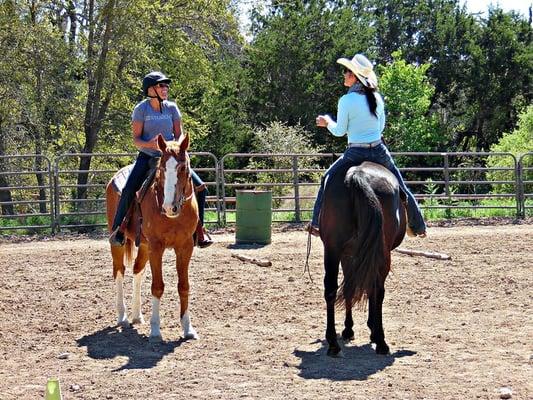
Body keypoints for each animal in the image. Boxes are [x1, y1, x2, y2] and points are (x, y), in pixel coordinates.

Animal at [105, 134, 198, 340]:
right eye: (162, 169)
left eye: (183, 167)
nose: (169, 207)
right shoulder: (157, 247)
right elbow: (157, 286)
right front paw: (155, 329)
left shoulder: (185, 247)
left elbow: (184, 286)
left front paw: (187, 328)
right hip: (118, 241)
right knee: (119, 271)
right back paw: (122, 316)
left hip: (144, 245)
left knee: (137, 270)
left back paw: (137, 316)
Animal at [318, 162, 406, 356]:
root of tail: (356, 174)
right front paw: (369, 329)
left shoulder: (348, 255)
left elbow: (350, 288)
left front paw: (349, 329)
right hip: (381, 254)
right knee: (378, 290)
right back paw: (381, 341)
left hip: (333, 249)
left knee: (331, 289)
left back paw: (333, 343)